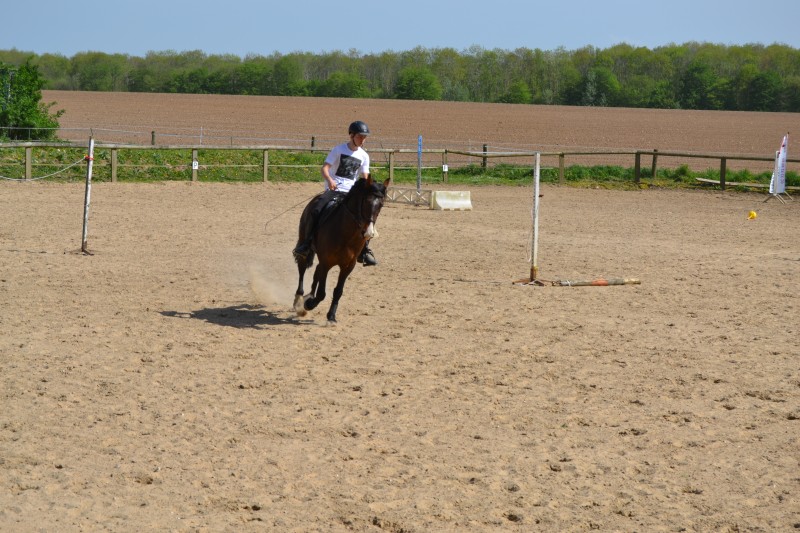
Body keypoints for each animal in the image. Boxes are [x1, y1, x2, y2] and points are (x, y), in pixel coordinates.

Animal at [293, 175, 390, 324]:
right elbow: (322, 293)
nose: (369, 233)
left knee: (316, 272)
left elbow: (338, 291)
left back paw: (309, 296)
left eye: (381, 204)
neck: (346, 233)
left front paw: (331, 316)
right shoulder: (326, 262)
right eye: (366, 202)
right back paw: (299, 300)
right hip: (305, 244)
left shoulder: (348, 266)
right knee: (302, 269)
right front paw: (309, 304)